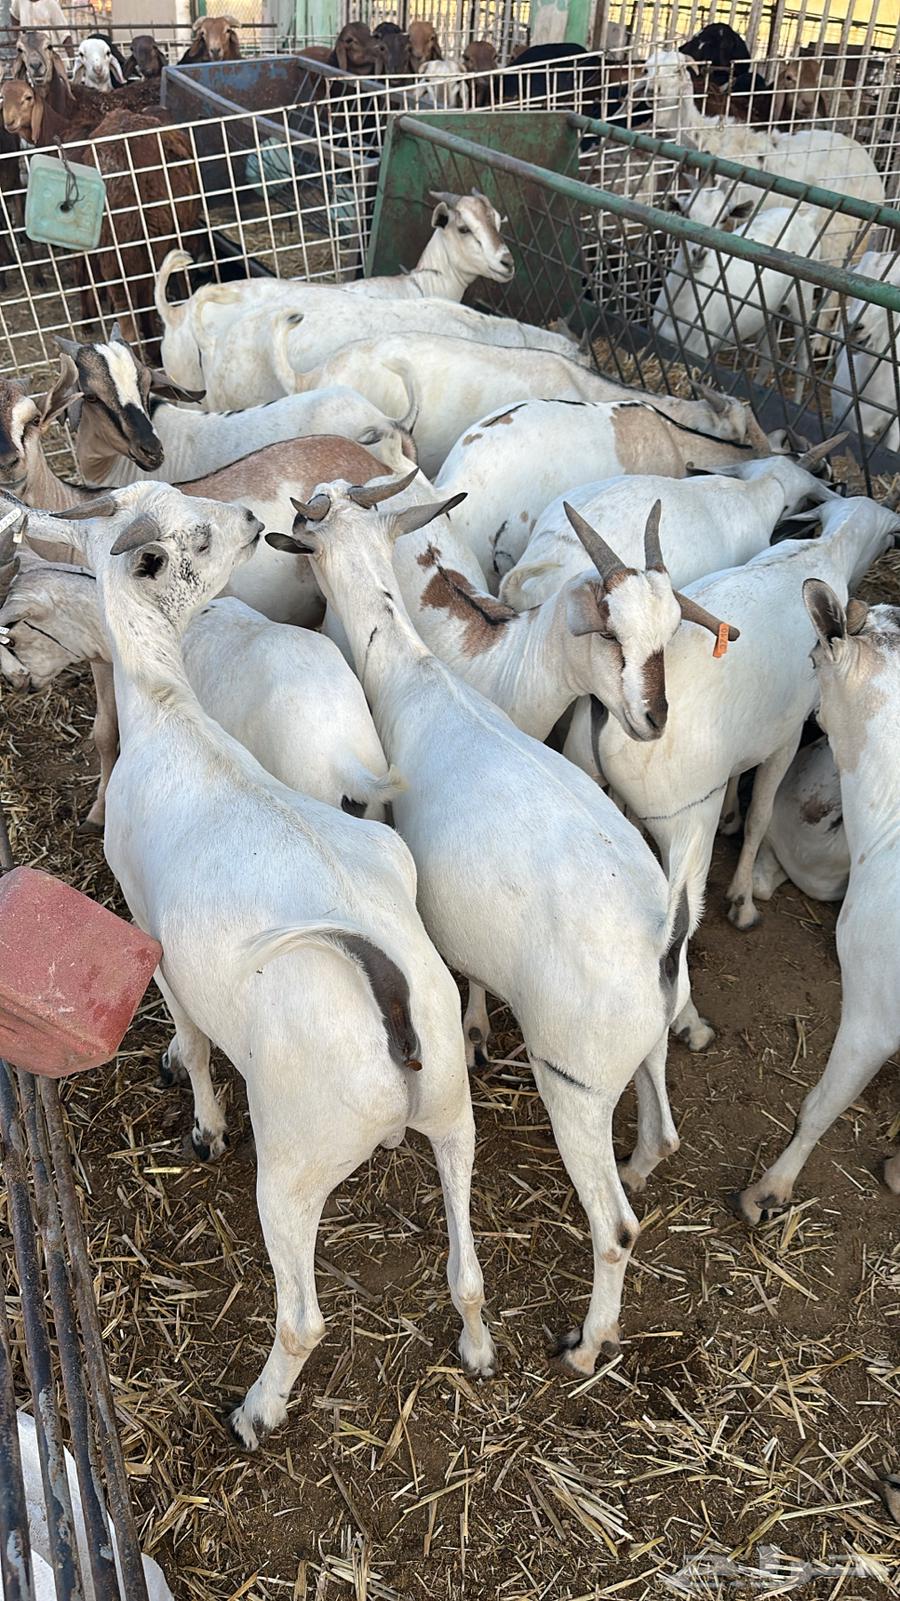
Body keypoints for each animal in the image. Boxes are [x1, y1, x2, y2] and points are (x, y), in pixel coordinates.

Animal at [44, 479, 495, 1446]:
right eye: (197, 536)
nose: (257, 520)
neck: (170, 711)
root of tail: (389, 995)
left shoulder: (150, 929)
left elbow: (192, 1039)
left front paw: (202, 1120)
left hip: (294, 1163)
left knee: (302, 1319)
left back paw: (255, 1411)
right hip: (452, 1109)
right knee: (468, 1266)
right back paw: (476, 1347)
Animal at [266, 470, 693, 1373]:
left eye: (307, 542)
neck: (418, 679)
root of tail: (657, 937)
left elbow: (458, 982)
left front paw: (467, 1036)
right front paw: (473, 1030)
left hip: (573, 1083)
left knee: (616, 1229)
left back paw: (585, 1345)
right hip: (646, 1043)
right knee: (663, 1127)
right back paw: (644, 1161)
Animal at [653, 186, 822, 402]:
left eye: (724, 218)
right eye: (685, 212)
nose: (699, 254)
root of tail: (804, 220)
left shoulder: (700, 350)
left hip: (803, 300)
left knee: (802, 361)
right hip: (764, 313)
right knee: (770, 356)